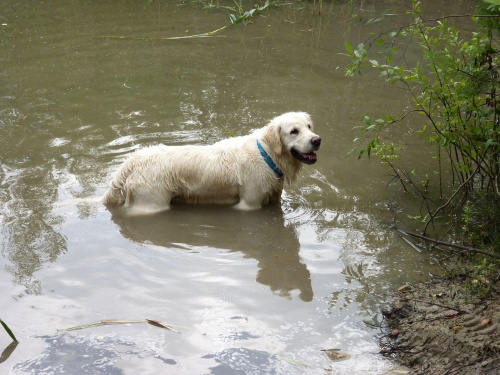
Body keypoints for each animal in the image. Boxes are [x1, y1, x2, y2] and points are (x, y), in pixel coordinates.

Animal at [102, 111, 320, 216]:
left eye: (309, 126)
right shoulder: (249, 204)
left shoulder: (275, 198)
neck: (266, 155)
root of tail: (133, 160)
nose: (317, 140)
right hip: (151, 204)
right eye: (294, 131)